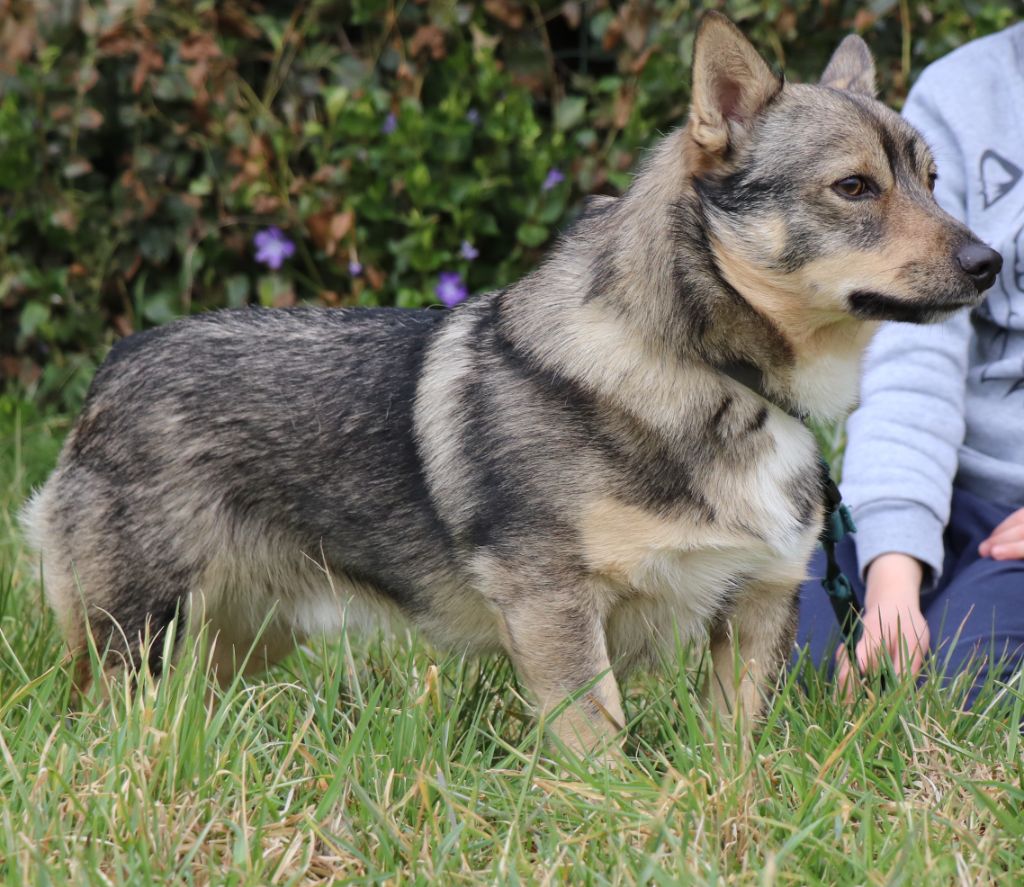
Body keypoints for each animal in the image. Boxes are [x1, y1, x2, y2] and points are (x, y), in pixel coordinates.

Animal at [22, 13, 999, 749]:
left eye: (932, 179)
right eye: (854, 188)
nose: (990, 263)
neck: (708, 369)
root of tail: (112, 370)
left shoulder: (756, 608)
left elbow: (734, 748)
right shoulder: (554, 606)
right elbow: (601, 740)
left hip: (239, 637)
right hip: (137, 636)